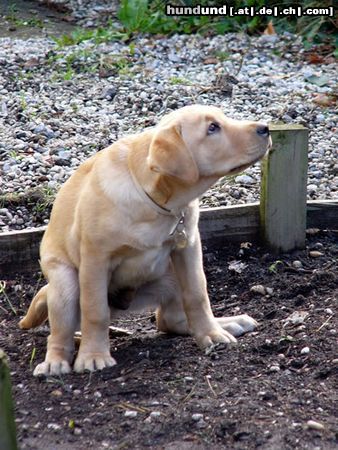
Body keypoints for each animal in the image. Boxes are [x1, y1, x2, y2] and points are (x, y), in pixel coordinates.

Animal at [19, 103, 272, 374]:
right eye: (212, 128)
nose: (266, 128)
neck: (159, 202)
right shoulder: (95, 259)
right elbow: (95, 311)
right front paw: (93, 356)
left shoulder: (188, 247)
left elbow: (197, 294)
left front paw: (211, 334)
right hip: (64, 283)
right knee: (59, 333)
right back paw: (55, 362)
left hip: (170, 270)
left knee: (170, 320)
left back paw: (227, 322)